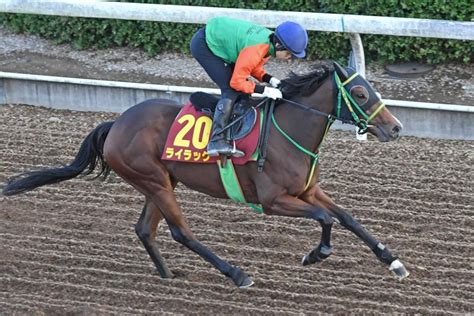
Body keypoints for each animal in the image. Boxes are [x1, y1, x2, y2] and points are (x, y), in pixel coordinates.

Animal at [1, 60, 408, 288]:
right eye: (360, 93)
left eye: (372, 89)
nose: (395, 128)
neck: (289, 131)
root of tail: (115, 123)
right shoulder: (273, 201)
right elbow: (326, 219)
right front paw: (315, 254)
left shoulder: (308, 190)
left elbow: (347, 217)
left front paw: (394, 262)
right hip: (154, 181)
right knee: (181, 232)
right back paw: (236, 274)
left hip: (160, 181)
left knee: (145, 229)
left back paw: (168, 277)